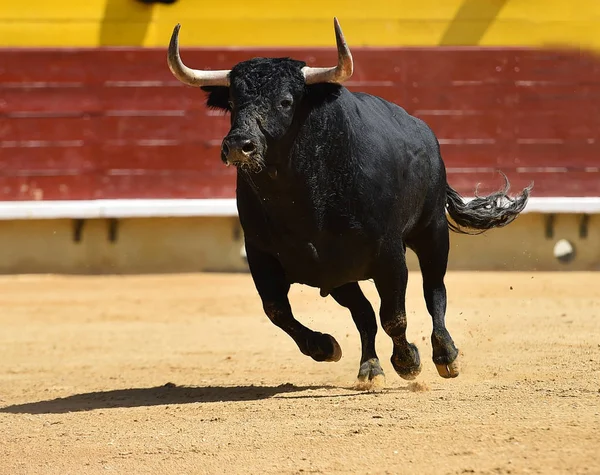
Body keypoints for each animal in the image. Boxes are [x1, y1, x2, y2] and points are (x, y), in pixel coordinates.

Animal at [166, 20, 528, 388]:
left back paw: (445, 355)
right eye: (233, 101)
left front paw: (408, 361)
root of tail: (424, 131)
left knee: (434, 290)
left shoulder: (388, 252)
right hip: (340, 274)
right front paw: (325, 346)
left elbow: (394, 315)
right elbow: (277, 310)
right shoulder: (263, 253)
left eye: (286, 101)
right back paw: (369, 368)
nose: (239, 145)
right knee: (364, 313)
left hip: (432, 231)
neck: (304, 197)